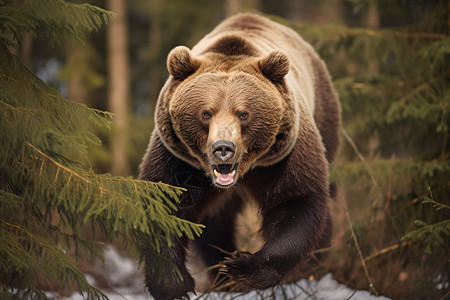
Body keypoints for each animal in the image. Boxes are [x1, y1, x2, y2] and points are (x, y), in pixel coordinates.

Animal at [139, 12, 340, 298]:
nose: (223, 147)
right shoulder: (177, 159)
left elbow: (297, 200)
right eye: (206, 112)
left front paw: (242, 266)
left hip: (323, 114)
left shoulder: (284, 157)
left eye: (244, 114)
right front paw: (174, 283)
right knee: (216, 223)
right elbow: (165, 205)